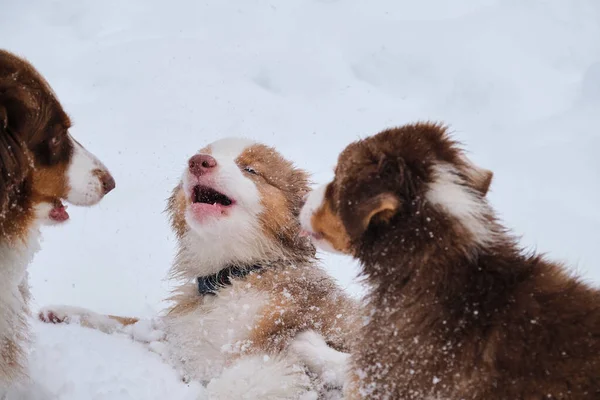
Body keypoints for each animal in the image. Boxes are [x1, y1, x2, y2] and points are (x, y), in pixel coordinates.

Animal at [41, 138, 356, 400]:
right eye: (205, 153)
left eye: (250, 169)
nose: (198, 161)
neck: (227, 277)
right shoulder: (176, 342)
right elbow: (124, 323)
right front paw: (63, 313)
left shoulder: (263, 362)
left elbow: (225, 388)